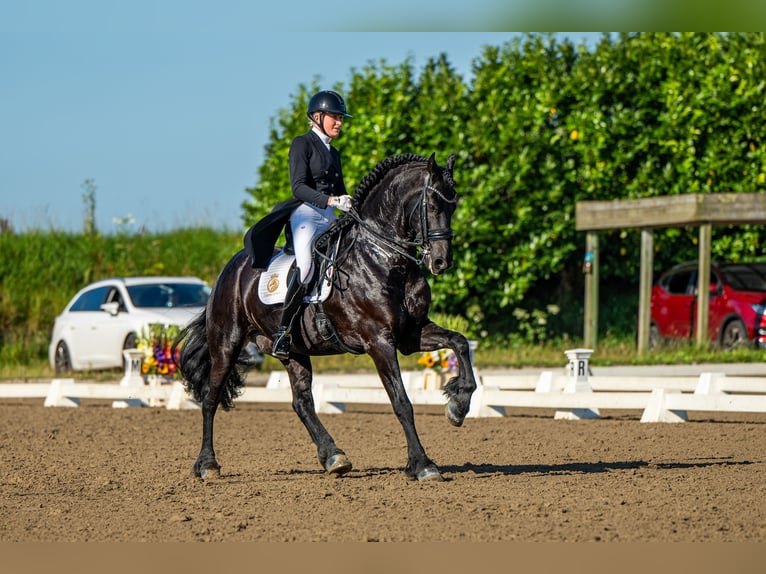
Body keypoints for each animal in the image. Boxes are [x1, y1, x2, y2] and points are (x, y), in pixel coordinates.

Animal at [179, 153, 476, 482]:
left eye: (453, 206)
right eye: (433, 206)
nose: (441, 262)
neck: (385, 260)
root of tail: (231, 268)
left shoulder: (412, 334)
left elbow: (460, 342)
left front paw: (458, 406)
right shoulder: (379, 341)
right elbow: (401, 402)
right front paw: (423, 464)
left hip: (292, 350)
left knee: (302, 402)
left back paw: (334, 457)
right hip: (226, 344)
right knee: (210, 397)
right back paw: (207, 464)